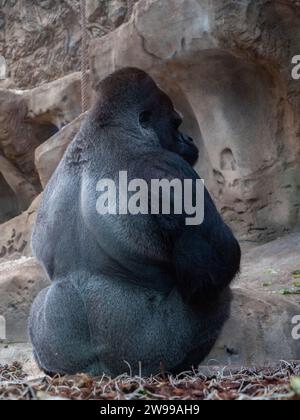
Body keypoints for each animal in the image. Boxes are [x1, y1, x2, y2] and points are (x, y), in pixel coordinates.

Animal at [28, 67, 241, 376]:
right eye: (176, 123)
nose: (189, 139)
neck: (104, 129)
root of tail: (102, 371)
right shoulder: (168, 168)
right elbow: (215, 266)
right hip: (148, 356)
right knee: (213, 299)